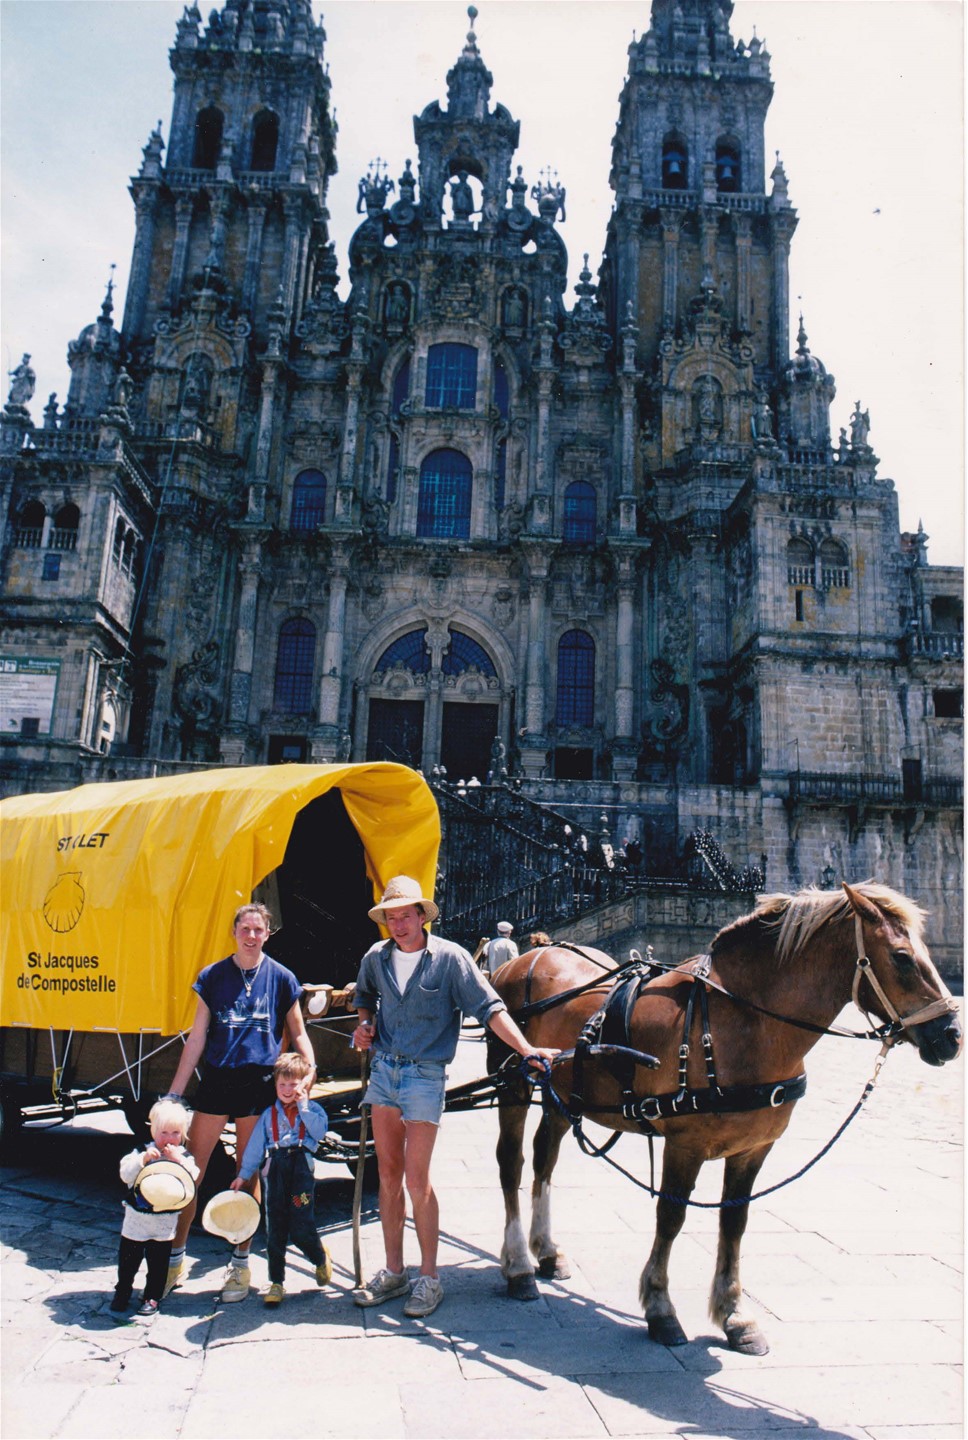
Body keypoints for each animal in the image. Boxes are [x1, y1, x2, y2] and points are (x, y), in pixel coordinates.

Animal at [492, 881, 962, 1353]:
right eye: (902, 957)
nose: (952, 1036)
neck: (746, 1021)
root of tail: (530, 955)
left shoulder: (754, 1147)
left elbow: (734, 1221)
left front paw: (734, 1314)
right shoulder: (684, 1143)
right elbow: (671, 1216)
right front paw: (660, 1307)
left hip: (560, 1091)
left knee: (544, 1159)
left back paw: (547, 1251)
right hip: (512, 1083)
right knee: (511, 1162)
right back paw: (518, 1267)